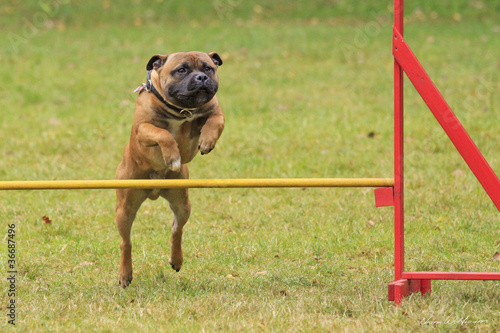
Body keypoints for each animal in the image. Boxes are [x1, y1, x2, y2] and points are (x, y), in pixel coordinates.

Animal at [115, 51, 225, 286]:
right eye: (181, 70)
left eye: (208, 68)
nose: (201, 77)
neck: (182, 110)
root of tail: (154, 191)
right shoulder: (144, 129)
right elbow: (163, 134)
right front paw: (172, 156)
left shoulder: (215, 112)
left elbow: (215, 121)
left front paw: (207, 141)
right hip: (125, 209)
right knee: (125, 242)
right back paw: (125, 274)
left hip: (182, 203)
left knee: (177, 229)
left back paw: (176, 259)